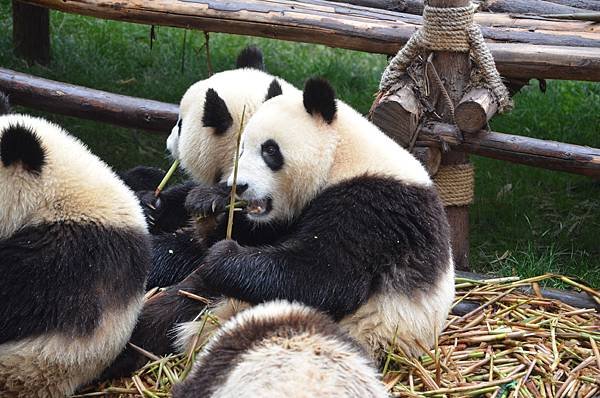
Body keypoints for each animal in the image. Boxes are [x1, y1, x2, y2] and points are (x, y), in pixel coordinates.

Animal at [173, 76, 454, 360]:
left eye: (270, 150)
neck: (340, 155)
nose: (239, 186)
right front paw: (208, 203)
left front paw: (223, 255)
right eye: (240, 149)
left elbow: (325, 275)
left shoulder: (372, 211)